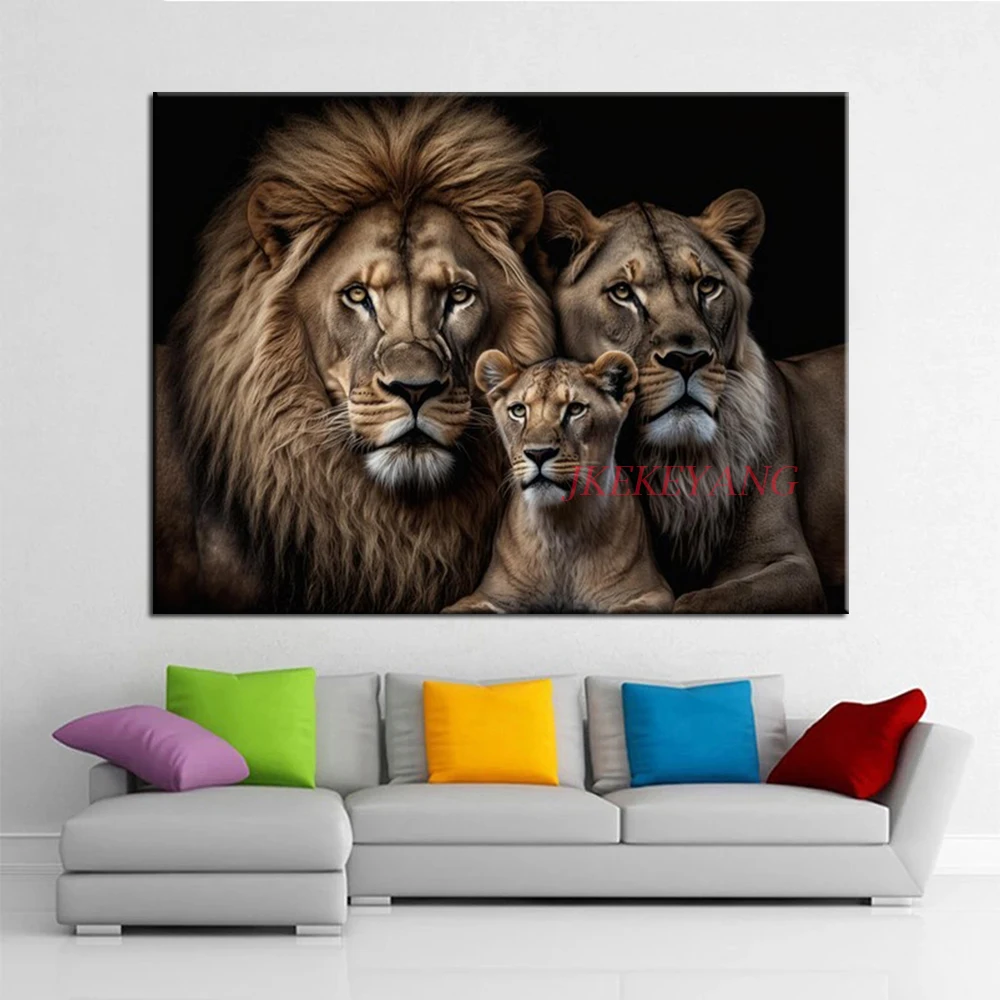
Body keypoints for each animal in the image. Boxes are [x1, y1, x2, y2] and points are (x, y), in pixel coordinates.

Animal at [443, 351, 675, 614]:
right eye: (518, 411)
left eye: (575, 409)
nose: (539, 453)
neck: (559, 529)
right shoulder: (487, 595)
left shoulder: (654, 592)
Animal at [537, 189, 844, 613]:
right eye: (623, 292)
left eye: (708, 286)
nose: (688, 359)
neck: (674, 464)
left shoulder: (789, 562)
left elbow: (706, 601)